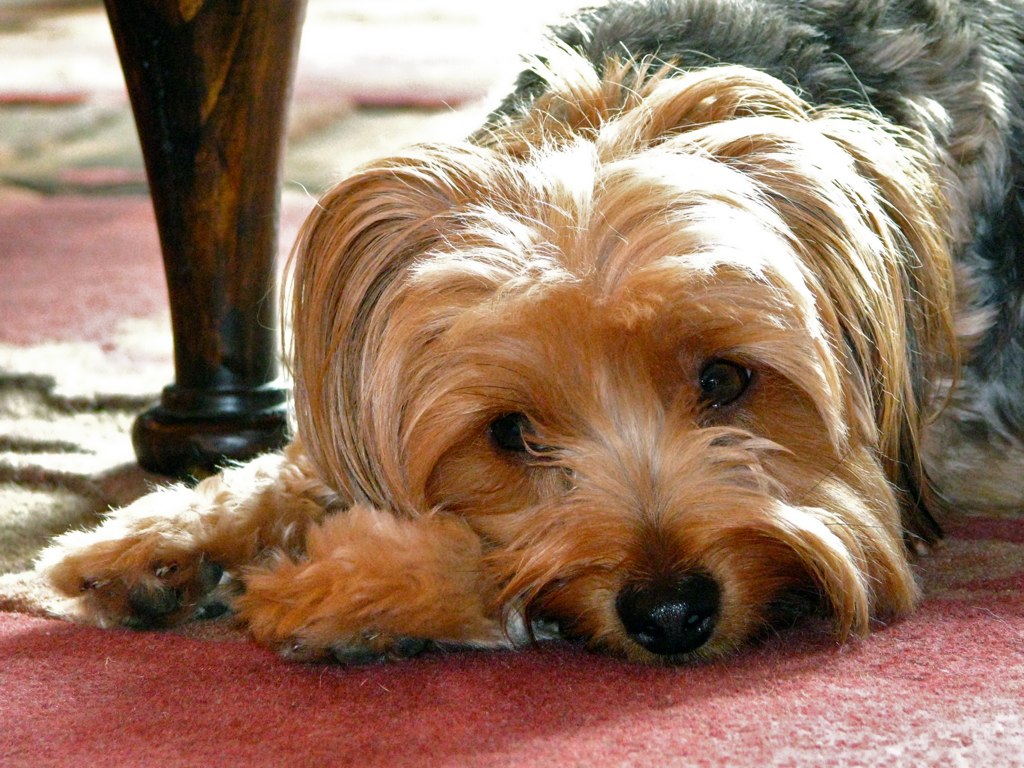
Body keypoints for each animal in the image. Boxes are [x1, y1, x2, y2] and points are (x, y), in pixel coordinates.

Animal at [36, 0, 1019, 667]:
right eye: (511, 434)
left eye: (726, 379)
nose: (670, 614)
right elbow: (305, 460)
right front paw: (152, 542)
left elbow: (494, 562)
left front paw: (343, 585)